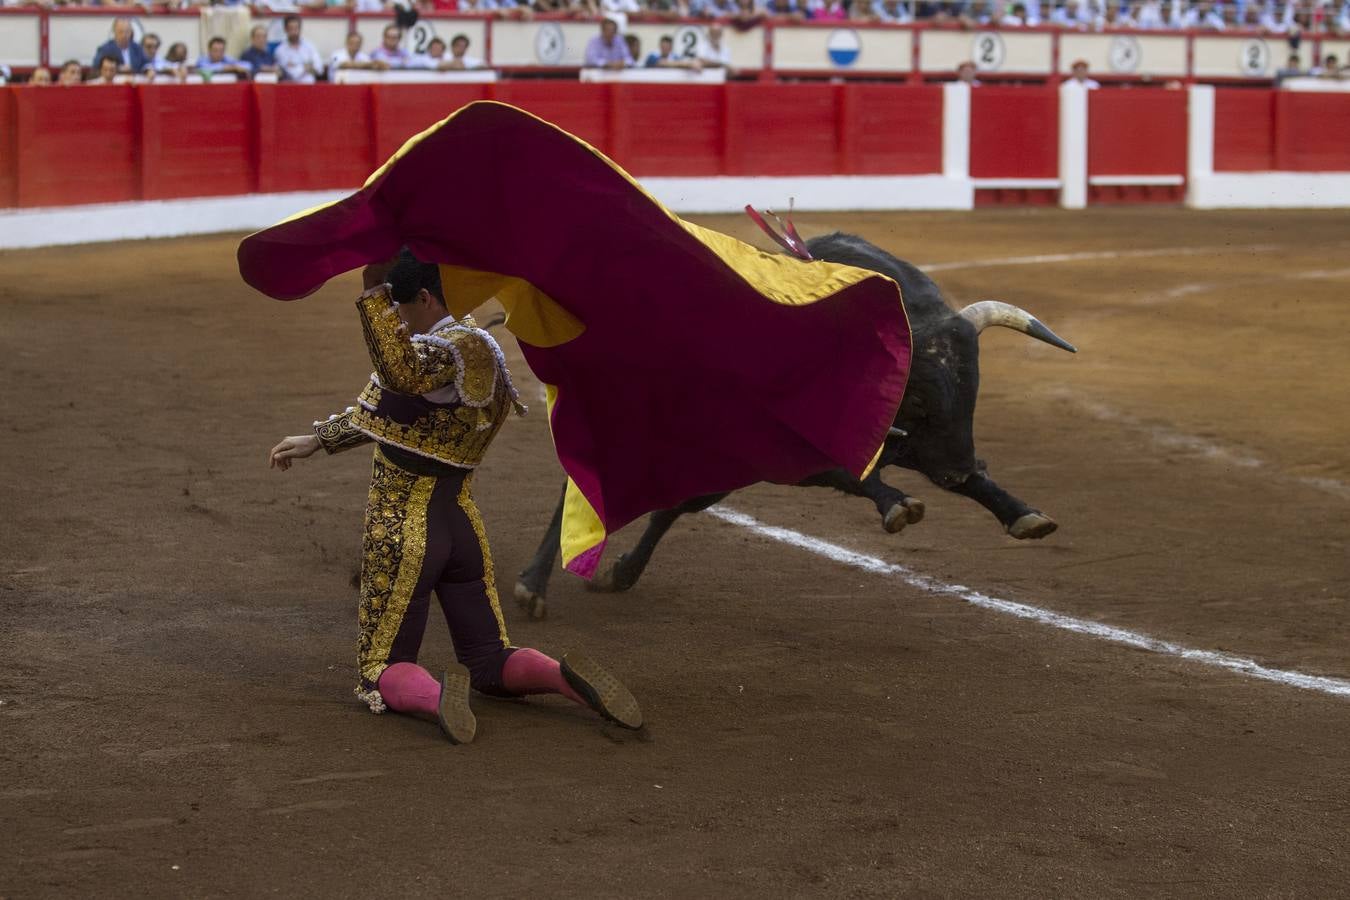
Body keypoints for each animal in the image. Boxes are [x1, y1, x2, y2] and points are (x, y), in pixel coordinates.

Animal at [507, 234, 1074, 620]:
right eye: (918, 394)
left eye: (973, 386)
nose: (958, 468)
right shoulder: (790, 449)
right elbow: (854, 476)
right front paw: (898, 506)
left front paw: (1021, 513)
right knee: (586, 486)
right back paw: (533, 586)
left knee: (672, 504)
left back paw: (620, 573)